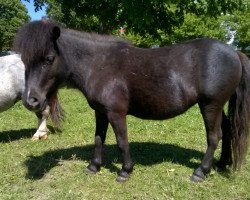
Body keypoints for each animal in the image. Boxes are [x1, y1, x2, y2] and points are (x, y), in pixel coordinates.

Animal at [14, 20, 250, 183]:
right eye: (24, 60)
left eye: (49, 59)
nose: (30, 101)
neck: (99, 65)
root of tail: (234, 52)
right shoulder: (100, 112)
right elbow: (98, 139)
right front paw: (93, 166)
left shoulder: (116, 113)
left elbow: (122, 141)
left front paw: (125, 171)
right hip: (217, 106)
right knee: (228, 130)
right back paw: (222, 163)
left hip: (210, 105)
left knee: (214, 136)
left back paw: (201, 172)